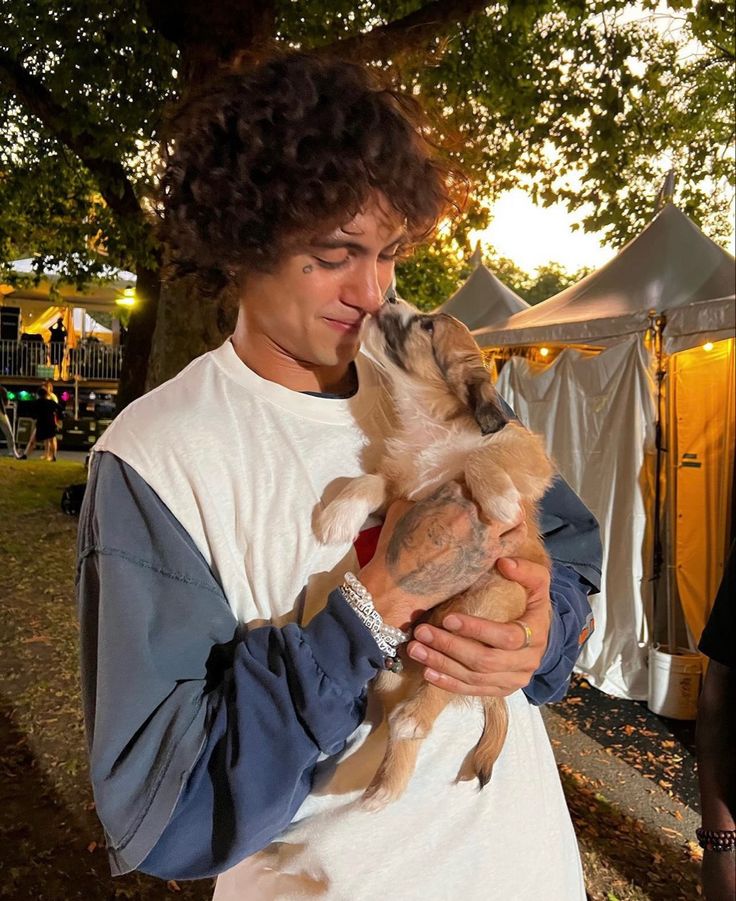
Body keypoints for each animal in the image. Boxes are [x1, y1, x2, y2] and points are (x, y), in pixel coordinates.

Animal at [314, 296, 552, 808]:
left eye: (426, 325)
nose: (387, 297)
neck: (432, 425)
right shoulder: (401, 487)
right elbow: (368, 481)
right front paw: (337, 517)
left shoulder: (528, 452)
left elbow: (484, 454)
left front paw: (499, 500)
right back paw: (383, 788)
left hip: (487, 602)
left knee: (431, 695)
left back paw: (405, 739)